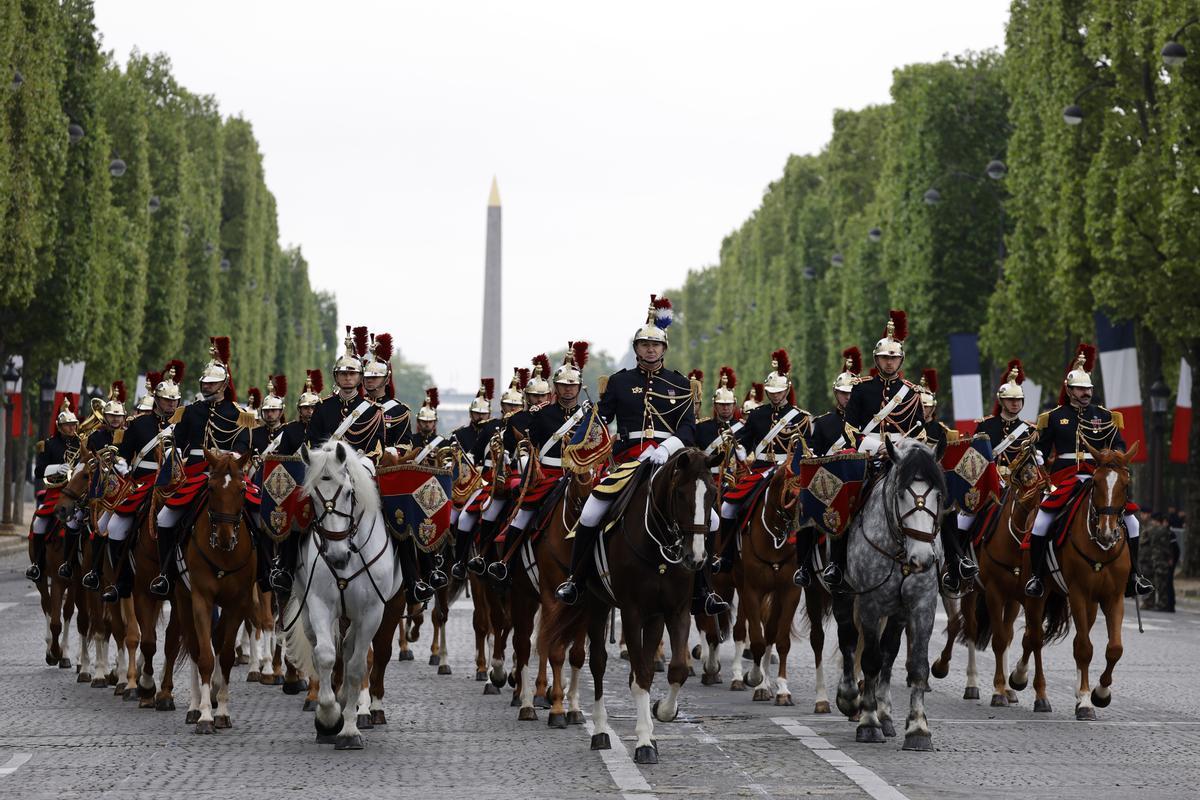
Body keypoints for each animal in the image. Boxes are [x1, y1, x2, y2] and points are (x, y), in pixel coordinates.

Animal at [172, 450, 256, 734]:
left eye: (242, 489)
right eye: (210, 488)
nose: (224, 537)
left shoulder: (238, 603)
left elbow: (227, 654)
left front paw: (222, 711)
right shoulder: (201, 599)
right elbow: (205, 656)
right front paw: (206, 716)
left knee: (218, 641)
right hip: (182, 600)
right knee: (194, 646)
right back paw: (195, 706)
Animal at [282, 443, 403, 753]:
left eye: (349, 492)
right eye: (312, 496)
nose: (337, 557)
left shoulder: (372, 611)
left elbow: (358, 666)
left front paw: (349, 729)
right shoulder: (319, 604)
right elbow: (325, 656)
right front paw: (328, 718)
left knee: (357, 653)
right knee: (326, 650)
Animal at [547, 448, 720, 767]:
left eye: (713, 494)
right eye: (680, 493)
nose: (696, 558)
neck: (660, 547)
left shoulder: (674, 611)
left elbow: (674, 670)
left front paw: (661, 713)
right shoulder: (631, 611)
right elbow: (640, 676)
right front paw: (643, 743)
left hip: (652, 618)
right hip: (597, 604)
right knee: (598, 663)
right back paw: (601, 731)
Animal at [835, 434, 945, 753]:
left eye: (938, 495)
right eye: (901, 494)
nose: (923, 558)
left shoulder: (922, 605)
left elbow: (917, 665)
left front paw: (918, 728)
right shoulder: (870, 604)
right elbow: (869, 660)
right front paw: (868, 722)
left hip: (897, 612)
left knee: (889, 650)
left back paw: (884, 713)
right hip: (842, 594)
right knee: (849, 640)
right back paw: (850, 698)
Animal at [1012, 443, 1132, 719]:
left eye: (1126, 484)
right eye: (1096, 483)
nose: (1107, 533)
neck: (1101, 549)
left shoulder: (1113, 597)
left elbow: (1114, 648)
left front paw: (1099, 693)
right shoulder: (1078, 593)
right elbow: (1085, 648)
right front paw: (1087, 701)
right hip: (1038, 593)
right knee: (1034, 638)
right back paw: (1032, 687)